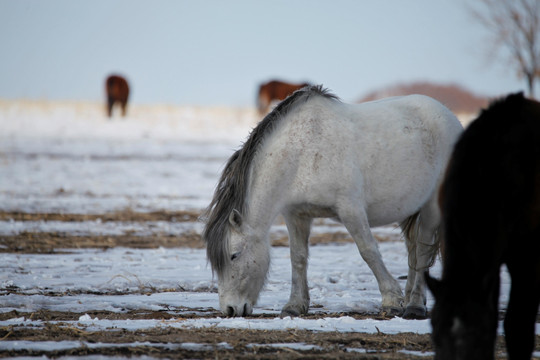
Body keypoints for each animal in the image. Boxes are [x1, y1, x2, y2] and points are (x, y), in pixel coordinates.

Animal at [202, 86, 464, 320]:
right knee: (412, 250)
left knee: (422, 250)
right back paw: (412, 298)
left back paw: (414, 306)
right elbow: (298, 257)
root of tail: (450, 118)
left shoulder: (350, 209)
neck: (303, 152)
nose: (230, 309)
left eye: (234, 255)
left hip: (431, 207)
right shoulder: (296, 214)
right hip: (408, 207)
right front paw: (294, 306)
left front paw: (391, 300)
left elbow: (368, 251)